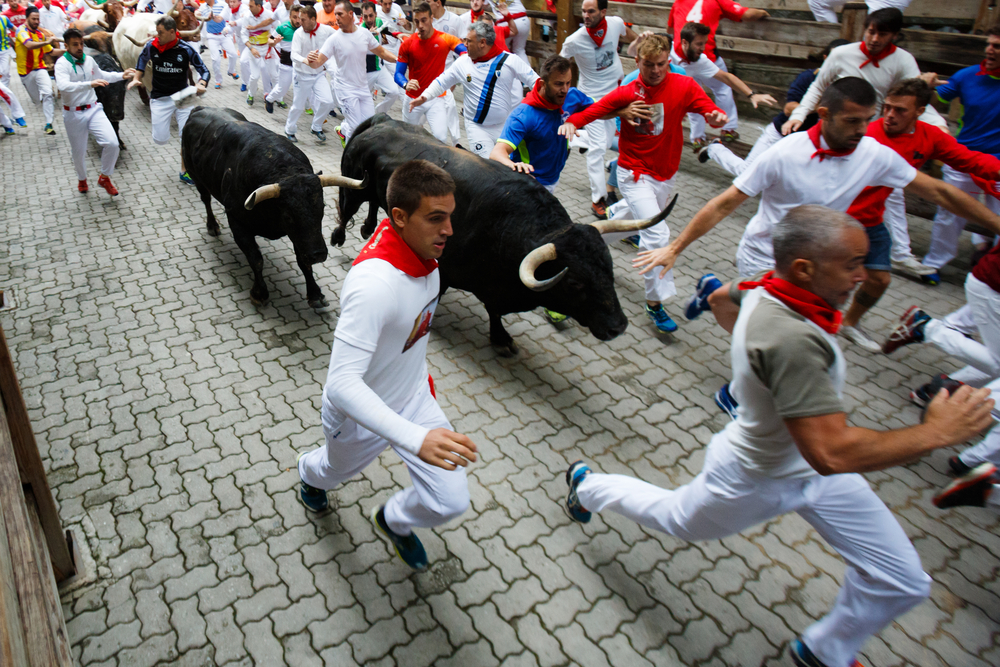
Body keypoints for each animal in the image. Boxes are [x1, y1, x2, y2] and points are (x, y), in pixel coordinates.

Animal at [181, 107, 368, 310]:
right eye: (288, 216)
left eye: (322, 208)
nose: (318, 254)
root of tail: (200, 109)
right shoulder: (237, 221)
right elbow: (256, 258)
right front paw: (259, 293)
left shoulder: (300, 236)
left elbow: (303, 261)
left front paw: (315, 294)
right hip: (196, 177)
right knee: (206, 199)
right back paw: (212, 226)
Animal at [336, 116, 672, 354]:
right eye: (575, 282)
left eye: (608, 269)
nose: (618, 326)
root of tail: (383, 121)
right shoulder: (446, 267)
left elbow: (494, 310)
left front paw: (500, 337)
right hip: (354, 184)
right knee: (347, 206)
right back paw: (340, 235)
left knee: (372, 205)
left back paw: (367, 227)